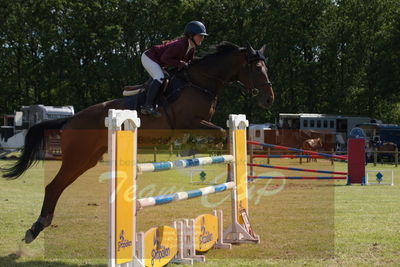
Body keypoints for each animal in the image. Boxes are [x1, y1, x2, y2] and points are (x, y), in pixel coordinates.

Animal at [0, 42, 276, 245]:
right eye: (256, 69)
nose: (269, 99)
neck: (201, 82)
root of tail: (71, 119)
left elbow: (220, 137)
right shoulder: (189, 121)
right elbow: (217, 134)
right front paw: (198, 151)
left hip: (87, 160)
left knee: (57, 186)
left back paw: (39, 226)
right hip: (77, 157)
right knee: (53, 186)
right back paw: (35, 228)